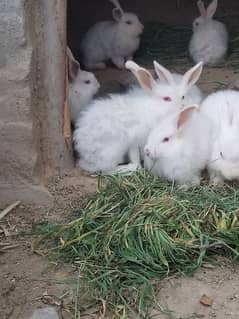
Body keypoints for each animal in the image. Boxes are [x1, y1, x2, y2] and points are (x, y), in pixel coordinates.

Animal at [73, 60, 204, 175]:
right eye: (167, 98)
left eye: (183, 97)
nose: (182, 106)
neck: (154, 108)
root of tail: (84, 153)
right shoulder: (134, 139)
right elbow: (135, 155)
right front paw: (138, 165)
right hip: (112, 150)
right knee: (105, 170)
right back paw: (128, 168)